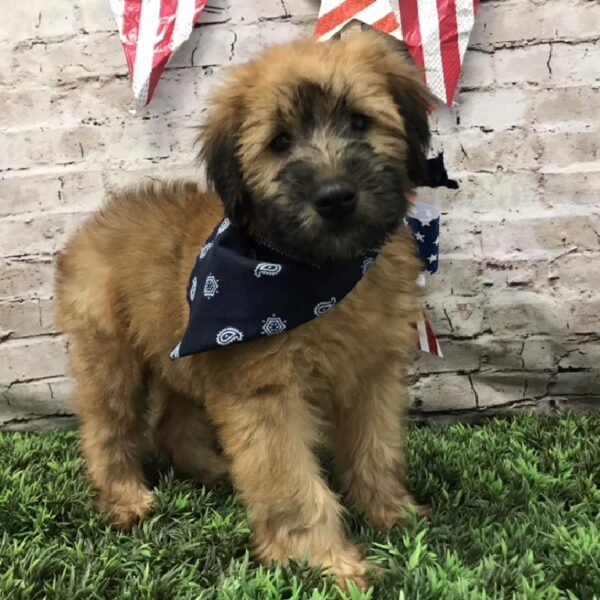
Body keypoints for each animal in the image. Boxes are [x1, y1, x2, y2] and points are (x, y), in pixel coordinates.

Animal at [55, 27, 432, 584]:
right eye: (279, 143)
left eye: (360, 121)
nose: (335, 196)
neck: (319, 274)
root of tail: (93, 224)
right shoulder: (265, 390)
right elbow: (291, 481)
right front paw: (325, 561)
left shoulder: (372, 375)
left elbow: (376, 449)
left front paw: (391, 512)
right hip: (109, 357)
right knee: (108, 428)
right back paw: (125, 498)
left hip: (179, 353)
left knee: (171, 421)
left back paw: (212, 469)